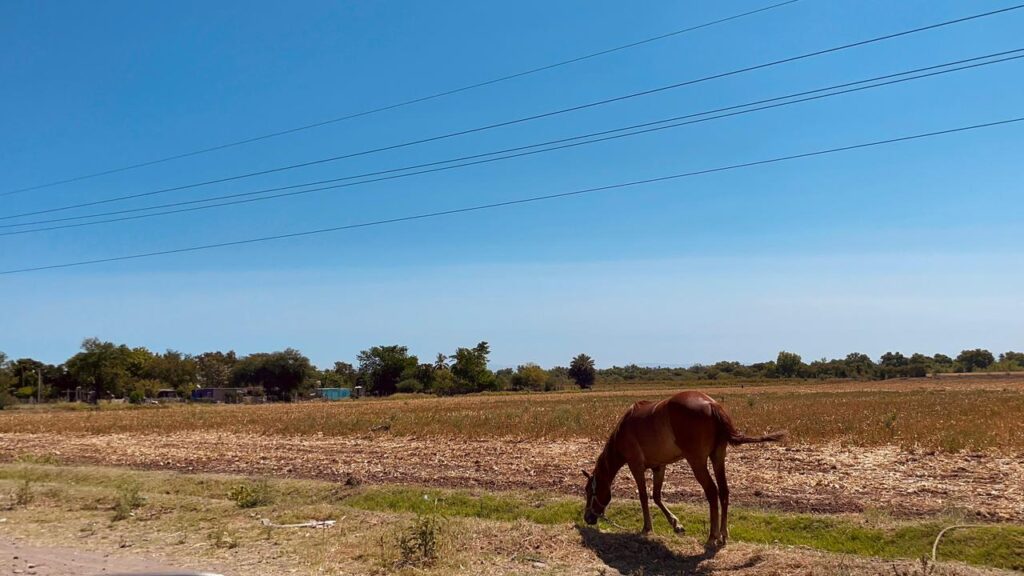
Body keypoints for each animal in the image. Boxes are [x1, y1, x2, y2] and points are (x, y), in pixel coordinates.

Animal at [582, 390, 785, 547]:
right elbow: (656, 496)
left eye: (589, 491)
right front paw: (676, 524)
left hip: (697, 462)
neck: (623, 431)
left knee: (712, 492)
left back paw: (712, 537)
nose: (587, 518)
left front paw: (647, 528)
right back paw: (723, 535)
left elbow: (643, 496)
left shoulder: (636, 465)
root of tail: (712, 405)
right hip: (718, 457)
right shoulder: (659, 467)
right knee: (724, 491)